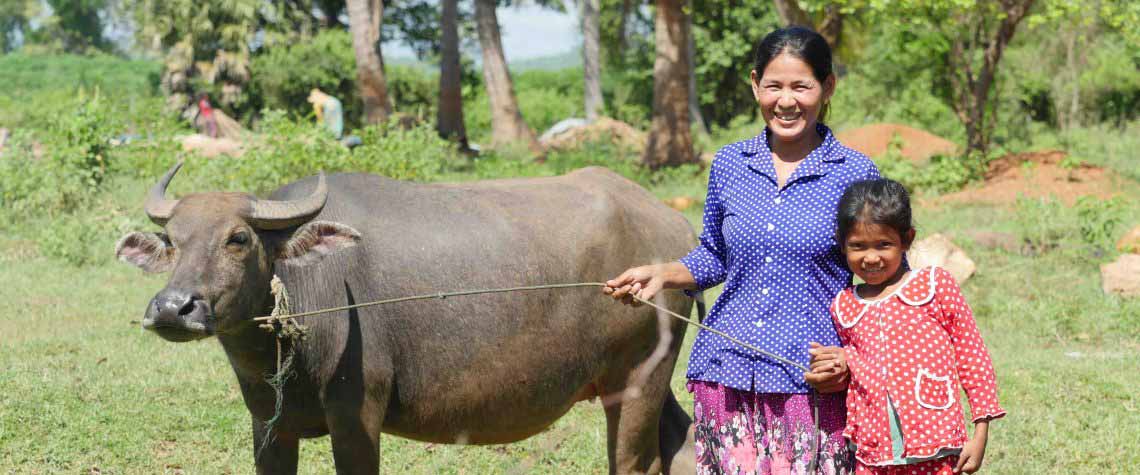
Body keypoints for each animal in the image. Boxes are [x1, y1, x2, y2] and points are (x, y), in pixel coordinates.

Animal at [115, 162, 699, 474]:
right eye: (174, 241)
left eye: (237, 238)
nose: (173, 307)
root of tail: (678, 231)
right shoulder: (268, 425)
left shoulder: (357, 416)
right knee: (681, 435)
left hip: (636, 381)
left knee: (638, 461)